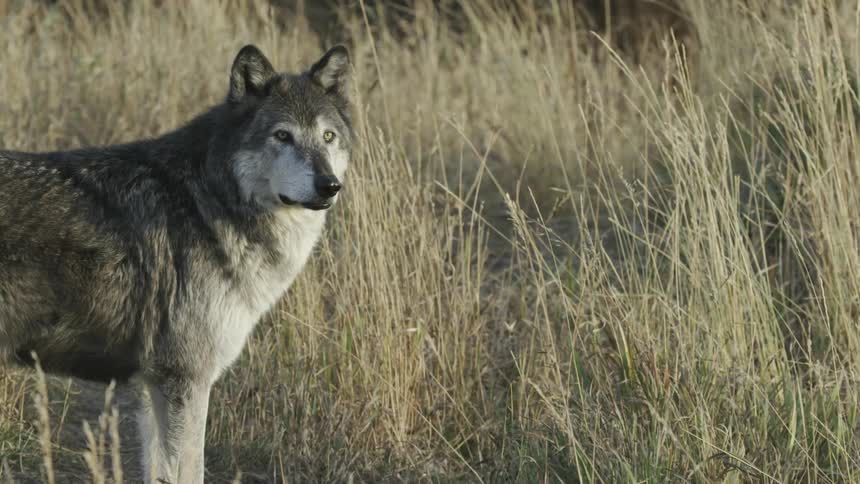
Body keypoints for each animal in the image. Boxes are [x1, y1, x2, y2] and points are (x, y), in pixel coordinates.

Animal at [0, 44, 353, 483]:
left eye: (328, 136)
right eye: (283, 136)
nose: (329, 186)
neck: (209, 202)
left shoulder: (154, 387)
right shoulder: (184, 380)